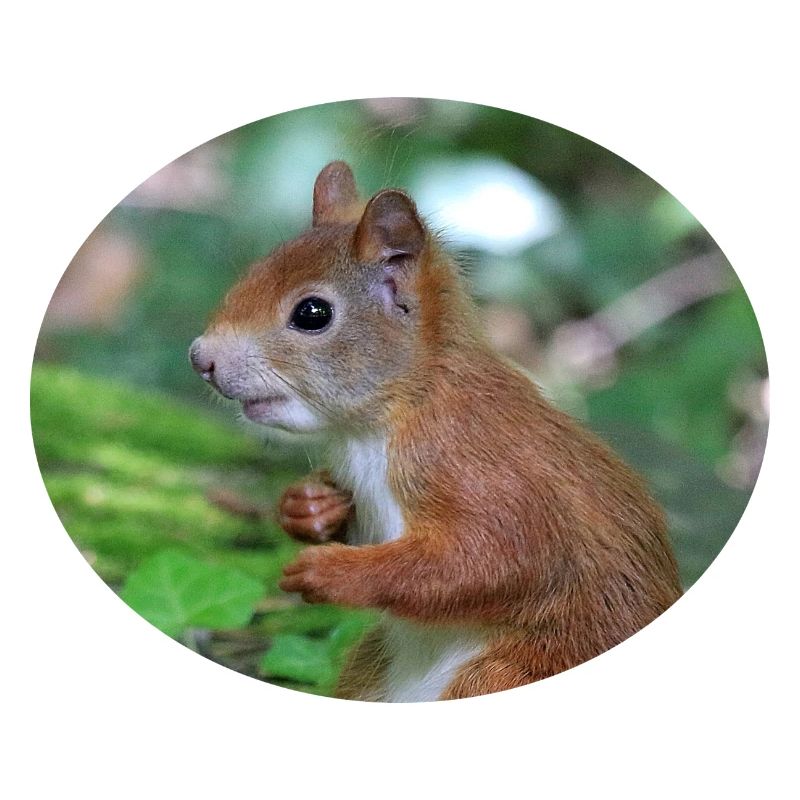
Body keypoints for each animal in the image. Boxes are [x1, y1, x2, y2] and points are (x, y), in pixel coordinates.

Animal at [190, 161, 683, 702]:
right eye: (252, 271)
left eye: (312, 313)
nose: (200, 358)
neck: (386, 421)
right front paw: (307, 507)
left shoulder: (481, 469)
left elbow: (496, 561)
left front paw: (332, 571)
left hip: (507, 673)